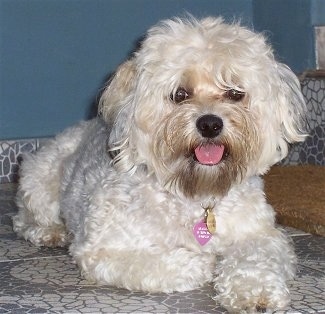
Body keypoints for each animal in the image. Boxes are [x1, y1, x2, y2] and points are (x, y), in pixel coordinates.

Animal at [13, 16, 306, 312]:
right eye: (179, 94)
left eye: (235, 92)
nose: (210, 124)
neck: (195, 194)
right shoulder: (104, 250)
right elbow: (173, 263)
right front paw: (207, 263)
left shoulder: (261, 235)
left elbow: (255, 260)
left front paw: (255, 293)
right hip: (40, 180)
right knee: (25, 219)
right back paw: (51, 232)